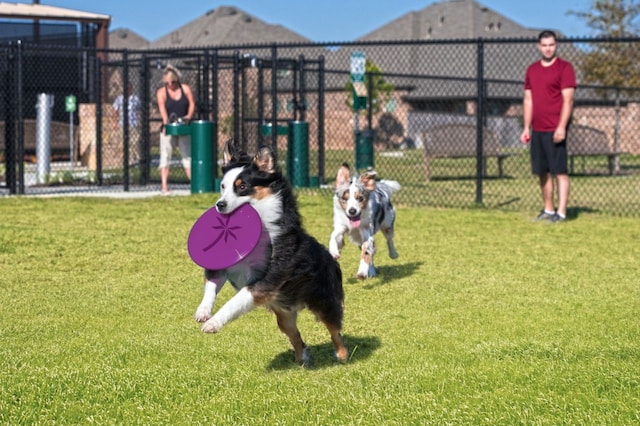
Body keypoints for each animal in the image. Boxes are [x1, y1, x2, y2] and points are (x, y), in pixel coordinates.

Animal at [195, 143, 348, 366]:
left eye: (242, 187)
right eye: (223, 186)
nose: (220, 205)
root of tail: (331, 259)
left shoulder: (265, 280)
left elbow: (234, 302)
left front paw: (213, 323)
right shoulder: (225, 266)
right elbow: (211, 287)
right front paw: (203, 312)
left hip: (324, 301)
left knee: (335, 330)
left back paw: (342, 355)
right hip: (284, 315)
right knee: (295, 335)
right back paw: (302, 359)